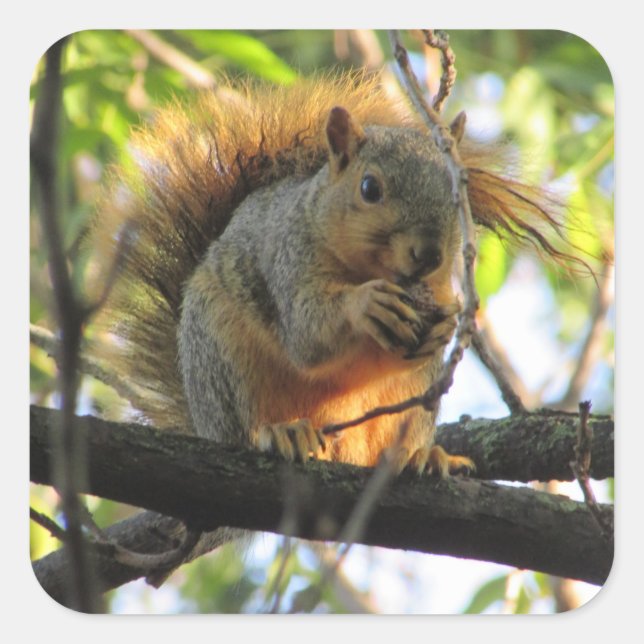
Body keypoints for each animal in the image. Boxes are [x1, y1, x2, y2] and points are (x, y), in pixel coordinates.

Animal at [90, 73, 575, 483]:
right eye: (369, 188)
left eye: (459, 195)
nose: (430, 254)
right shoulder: (290, 259)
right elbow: (307, 333)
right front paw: (365, 305)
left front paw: (446, 325)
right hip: (221, 356)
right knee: (245, 425)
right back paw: (280, 433)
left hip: (416, 396)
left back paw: (422, 454)